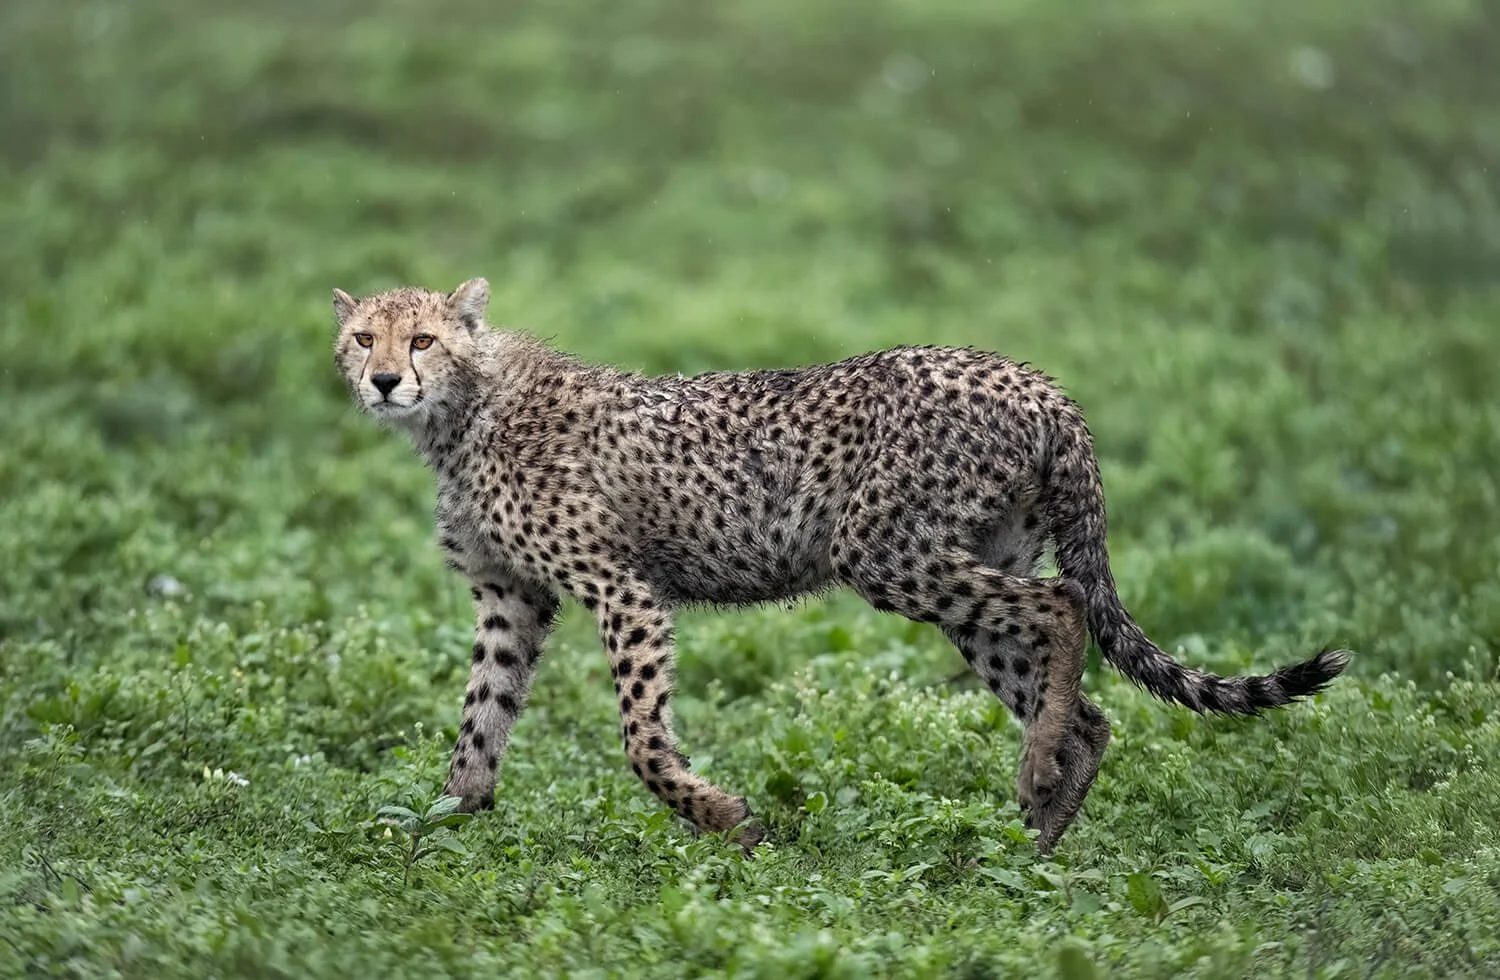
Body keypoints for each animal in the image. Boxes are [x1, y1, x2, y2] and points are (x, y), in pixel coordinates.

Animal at [331, 277, 1349, 853]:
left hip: (884, 550)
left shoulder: (623, 587)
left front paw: (724, 820)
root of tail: (1036, 380)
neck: (461, 410)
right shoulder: (513, 598)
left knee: (1064, 603)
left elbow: (641, 740)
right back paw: (1039, 832)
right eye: (360, 339)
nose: (381, 381)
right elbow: (480, 721)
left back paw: (1034, 785)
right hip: (962, 563)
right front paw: (441, 831)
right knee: (1089, 704)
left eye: (421, 339)